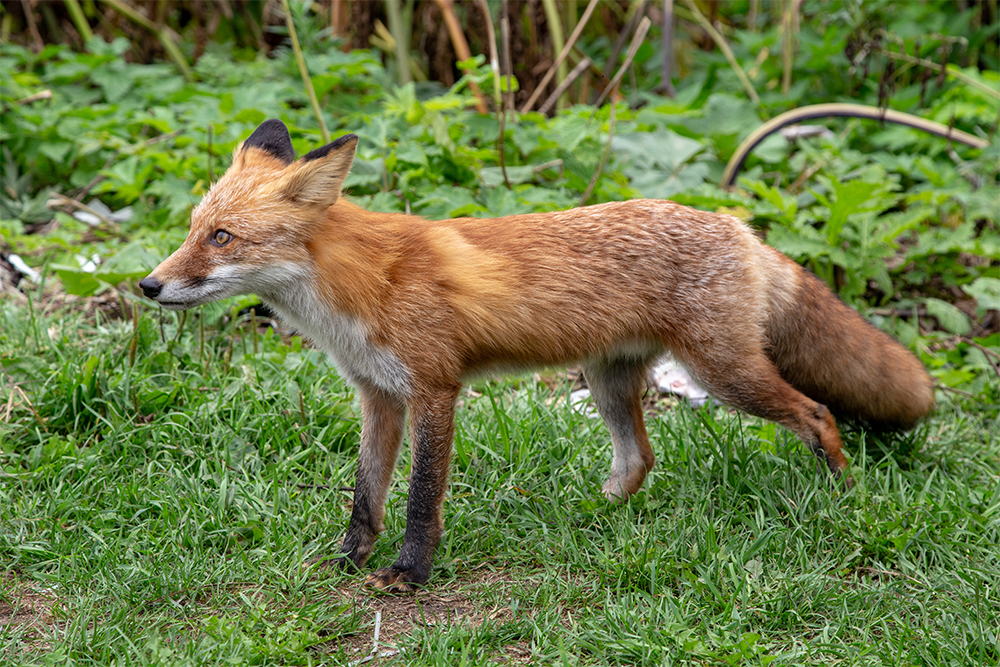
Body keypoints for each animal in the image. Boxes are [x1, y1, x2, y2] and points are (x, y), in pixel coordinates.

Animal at [143, 118, 936, 588]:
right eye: (191, 229)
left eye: (222, 238)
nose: (148, 285)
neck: (355, 289)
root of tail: (737, 224)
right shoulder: (378, 395)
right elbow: (365, 495)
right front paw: (346, 560)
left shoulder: (434, 388)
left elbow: (419, 497)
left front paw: (409, 573)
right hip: (610, 379)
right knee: (639, 458)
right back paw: (590, 515)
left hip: (725, 372)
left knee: (818, 412)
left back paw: (839, 496)